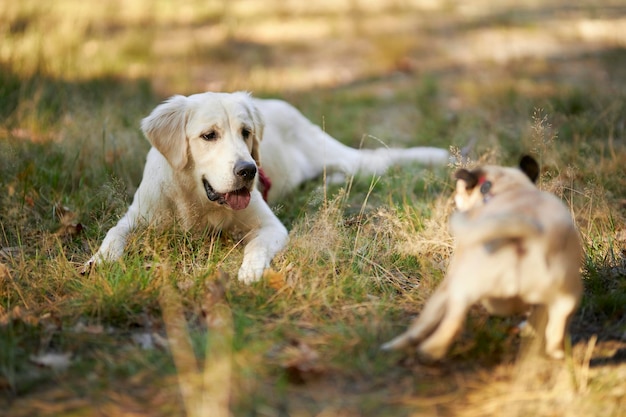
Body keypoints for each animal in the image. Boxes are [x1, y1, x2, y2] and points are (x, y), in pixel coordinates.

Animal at [84, 90, 448, 280]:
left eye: (246, 132)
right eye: (208, 135)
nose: (249, 170)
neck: (196, 200)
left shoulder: (270, 225)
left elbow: (256, 246)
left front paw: (250, 272)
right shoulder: (137, 216)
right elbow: (113, 234)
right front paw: (99, 262)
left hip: (336, 154)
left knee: (375, 163)